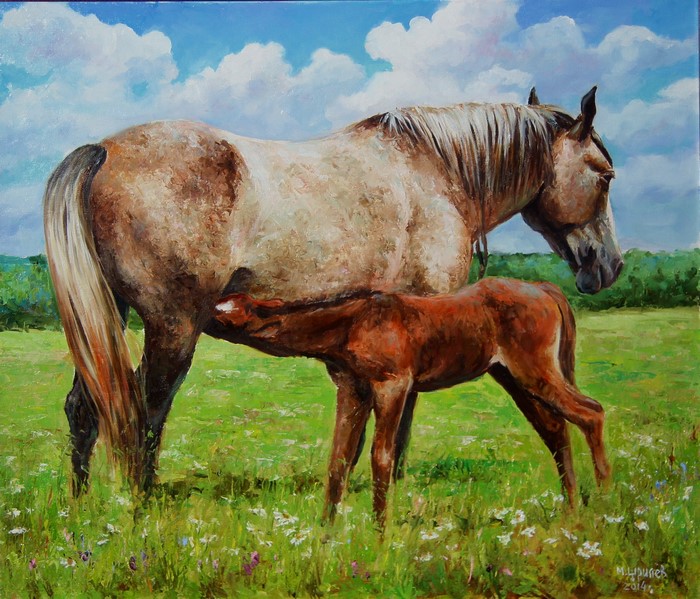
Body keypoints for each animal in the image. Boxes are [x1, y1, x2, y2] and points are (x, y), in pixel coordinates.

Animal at [43, 86, 621, 492]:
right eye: (605, 174)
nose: (610, 265)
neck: (436, 173)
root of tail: (103, 150)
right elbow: (401, 427)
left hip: (109, 320)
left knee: (85, 409)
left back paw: (86, 509)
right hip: (173, 329)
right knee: (143, 410)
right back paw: (141, 510)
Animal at [212, 277, 611, 524]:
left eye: (225, 312)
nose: (203, 314)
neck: (353, 323)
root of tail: (544, 289)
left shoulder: (393, 385)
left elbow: (381, 457)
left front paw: (380, 536)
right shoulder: (353, 389)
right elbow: (339, 458)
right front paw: (325, 532)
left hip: (533, 370)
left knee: (591, 412)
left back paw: (606, 506)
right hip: (514, 378)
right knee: (556, 427)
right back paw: (571, 509)